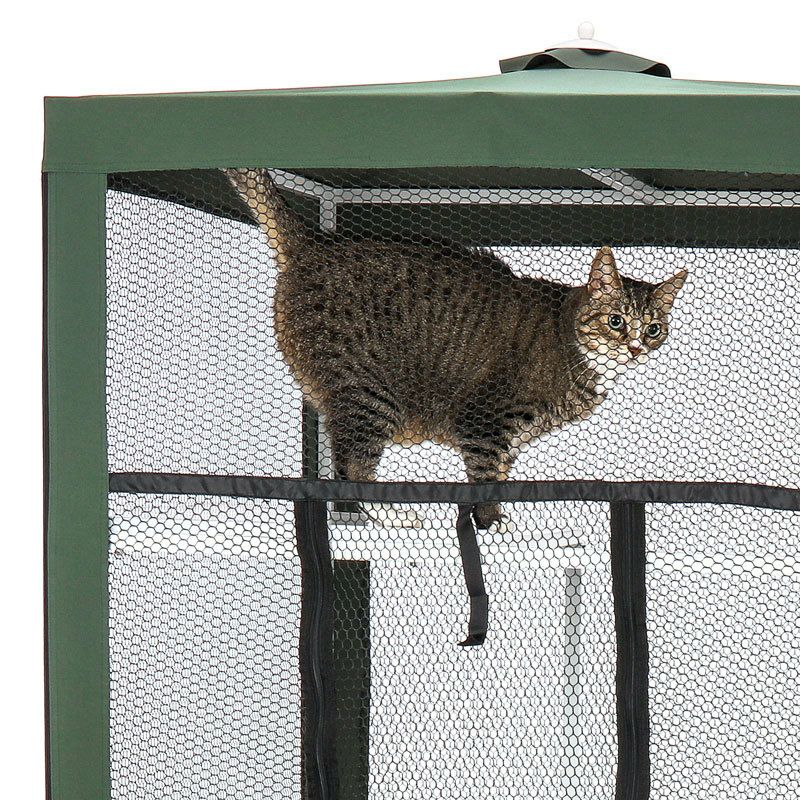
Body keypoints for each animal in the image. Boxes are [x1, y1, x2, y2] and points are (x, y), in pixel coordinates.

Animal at [226, 168, 687, 530]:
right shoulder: (486, 419)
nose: (634, 347)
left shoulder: (510, 435)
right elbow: (485, 473)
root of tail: (315, 244)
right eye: (616, 321)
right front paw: (491, 522)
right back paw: (397, 515)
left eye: (653, 329)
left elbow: (500, 471)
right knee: (353, 468)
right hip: (368, 390)